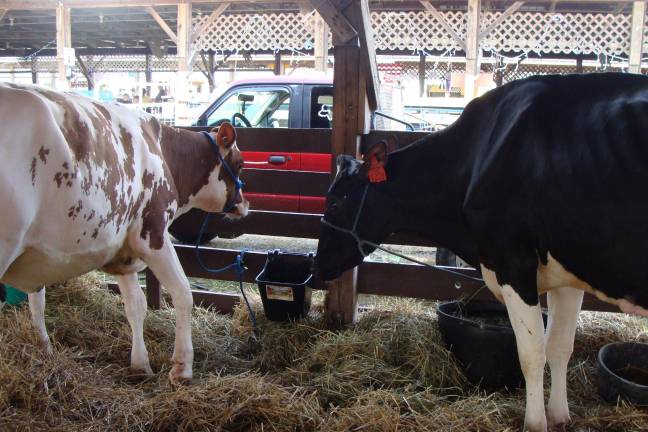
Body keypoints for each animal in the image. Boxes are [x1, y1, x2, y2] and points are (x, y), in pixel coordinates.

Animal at [0, 82, 248, 384]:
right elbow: (182, 293)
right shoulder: (152, 235)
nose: (245, 204)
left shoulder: (124, 248)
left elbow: (135, 305)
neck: (162, 150)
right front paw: (182, 368)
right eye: (240, 163)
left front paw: (140, 364)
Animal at [316, 72, 648, 430]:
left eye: (334, 203)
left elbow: (532, 353)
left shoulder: (512, 262)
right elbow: (560, 347)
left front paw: (535, 423)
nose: (316, 267)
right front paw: (559, 417)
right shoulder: (566, 272)